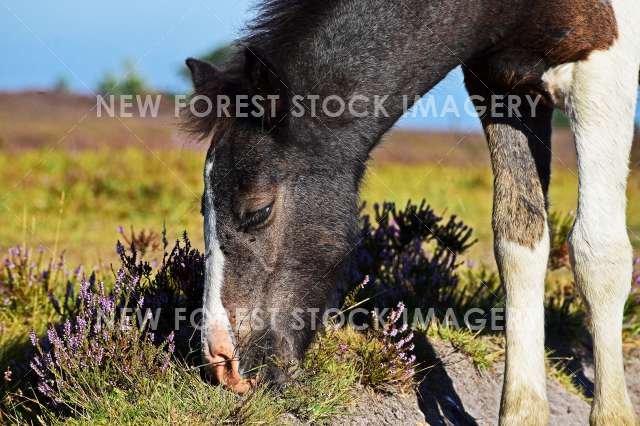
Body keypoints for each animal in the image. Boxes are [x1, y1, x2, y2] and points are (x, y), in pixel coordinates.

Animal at [186, 0, 640, 422]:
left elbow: (597, 253)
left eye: (258, 210)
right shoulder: (503, 86)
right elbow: (519, 243)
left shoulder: (604, 70)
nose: (224, 365)